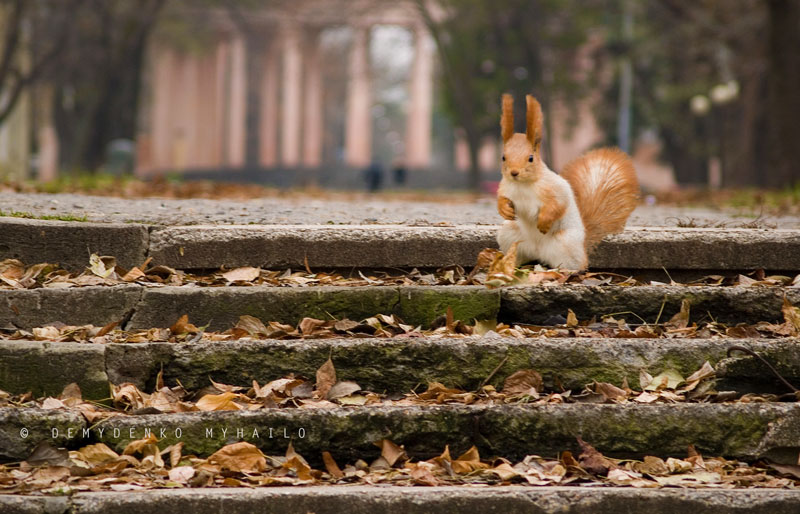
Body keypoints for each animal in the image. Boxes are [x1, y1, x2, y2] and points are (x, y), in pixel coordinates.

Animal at [496, 93, 640, 268]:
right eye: (503, 157)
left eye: (530, 158)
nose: (514, 172)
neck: (522, 185)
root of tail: (538, 251)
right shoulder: (505, 188)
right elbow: (501, 199)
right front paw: (504, 209)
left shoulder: (555, 188)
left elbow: (558, 204)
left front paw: (543, 222)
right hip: (509, 235)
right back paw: (509, 265)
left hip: (566, 243)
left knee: (575, 265)